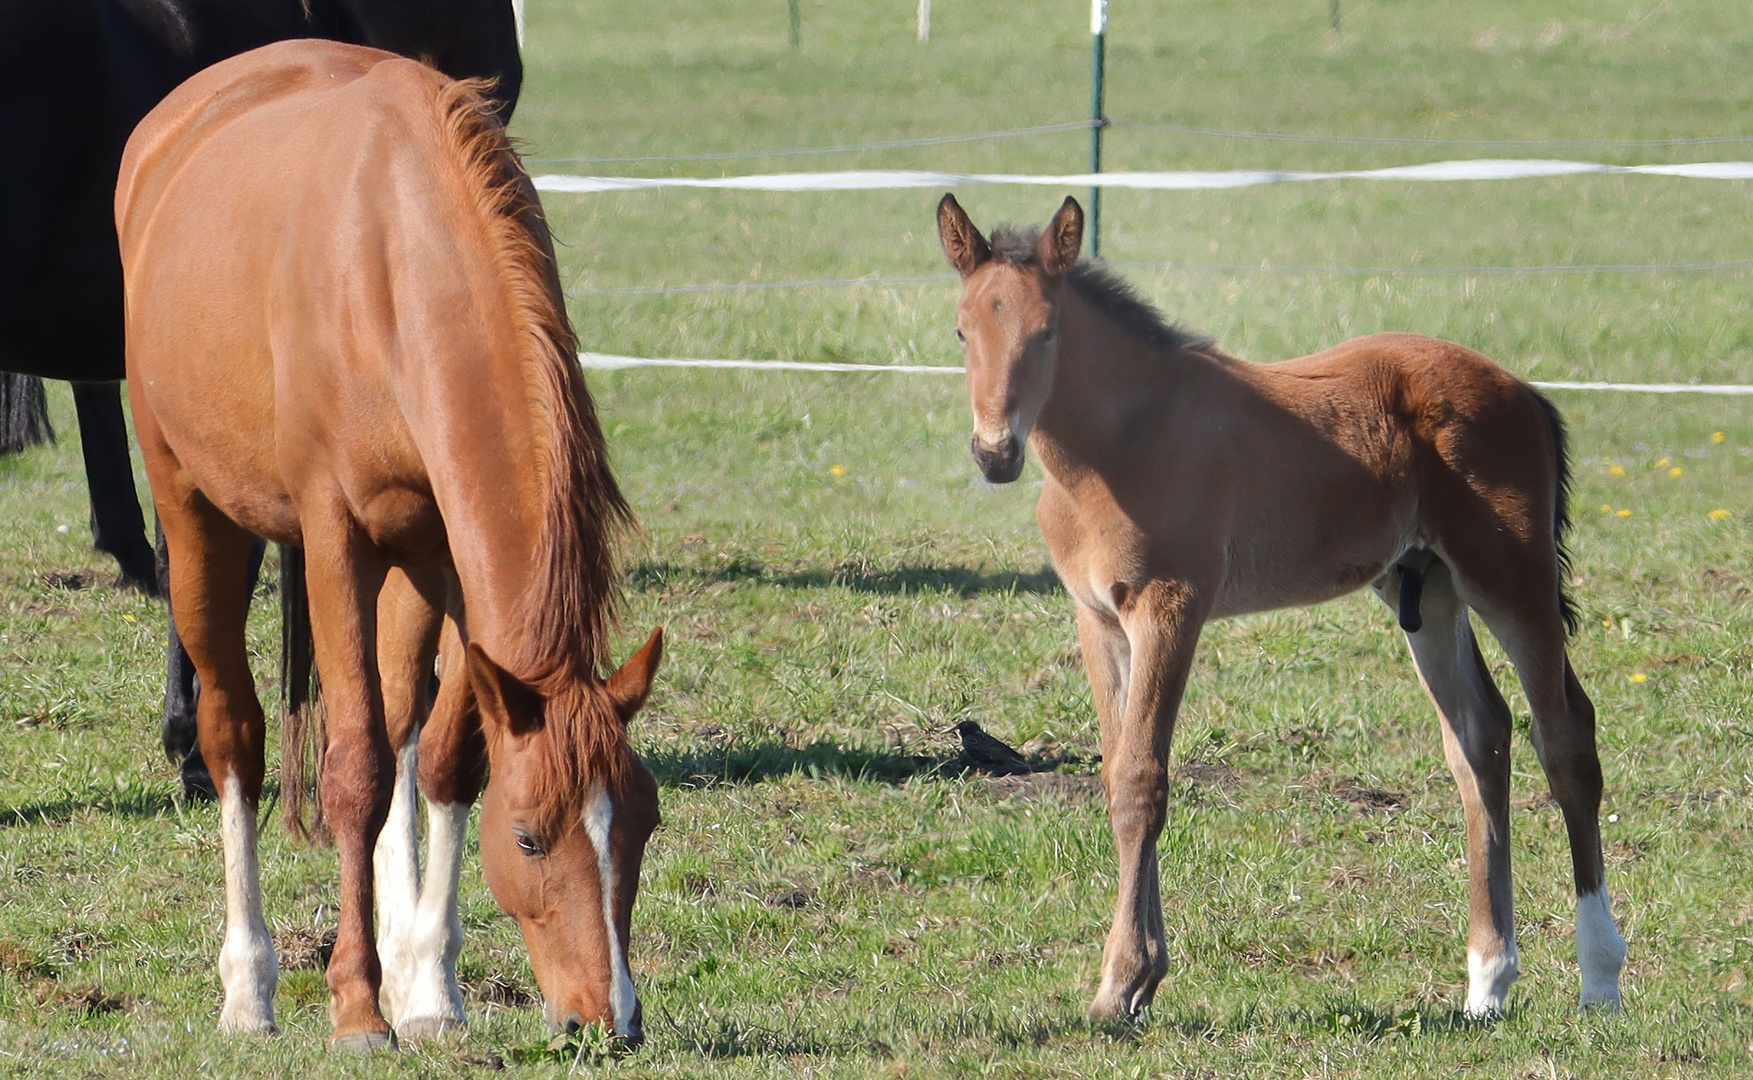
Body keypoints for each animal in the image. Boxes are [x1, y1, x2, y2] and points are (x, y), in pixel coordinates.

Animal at [116, 42, 659, 1044]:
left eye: (642, 824)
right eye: (530, 836)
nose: (611, 1019)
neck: (399, 260)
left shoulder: (448, 552)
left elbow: (444, 757)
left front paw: (431, 989)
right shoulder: (335, 539)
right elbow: (357, 769)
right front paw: (357, 1006)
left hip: (409, 562)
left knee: (405, 716)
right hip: (196, 512)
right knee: (235, 733)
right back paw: (250, 986)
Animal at [932, 191, 1626, 1023]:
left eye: (1047, 330)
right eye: (961, 330)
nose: (994, 453)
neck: (1124, 444)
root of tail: (1524, 391)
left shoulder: (1171, 607)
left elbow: (1141, 781)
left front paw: (1122, 986)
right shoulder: (1098, 620)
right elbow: (1116, 772)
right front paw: (1134, 982)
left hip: (1510, 579)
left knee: (1564, 737)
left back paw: (1599, 979)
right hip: (1426, 587)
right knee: (1479, 739)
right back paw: (1487, 983)